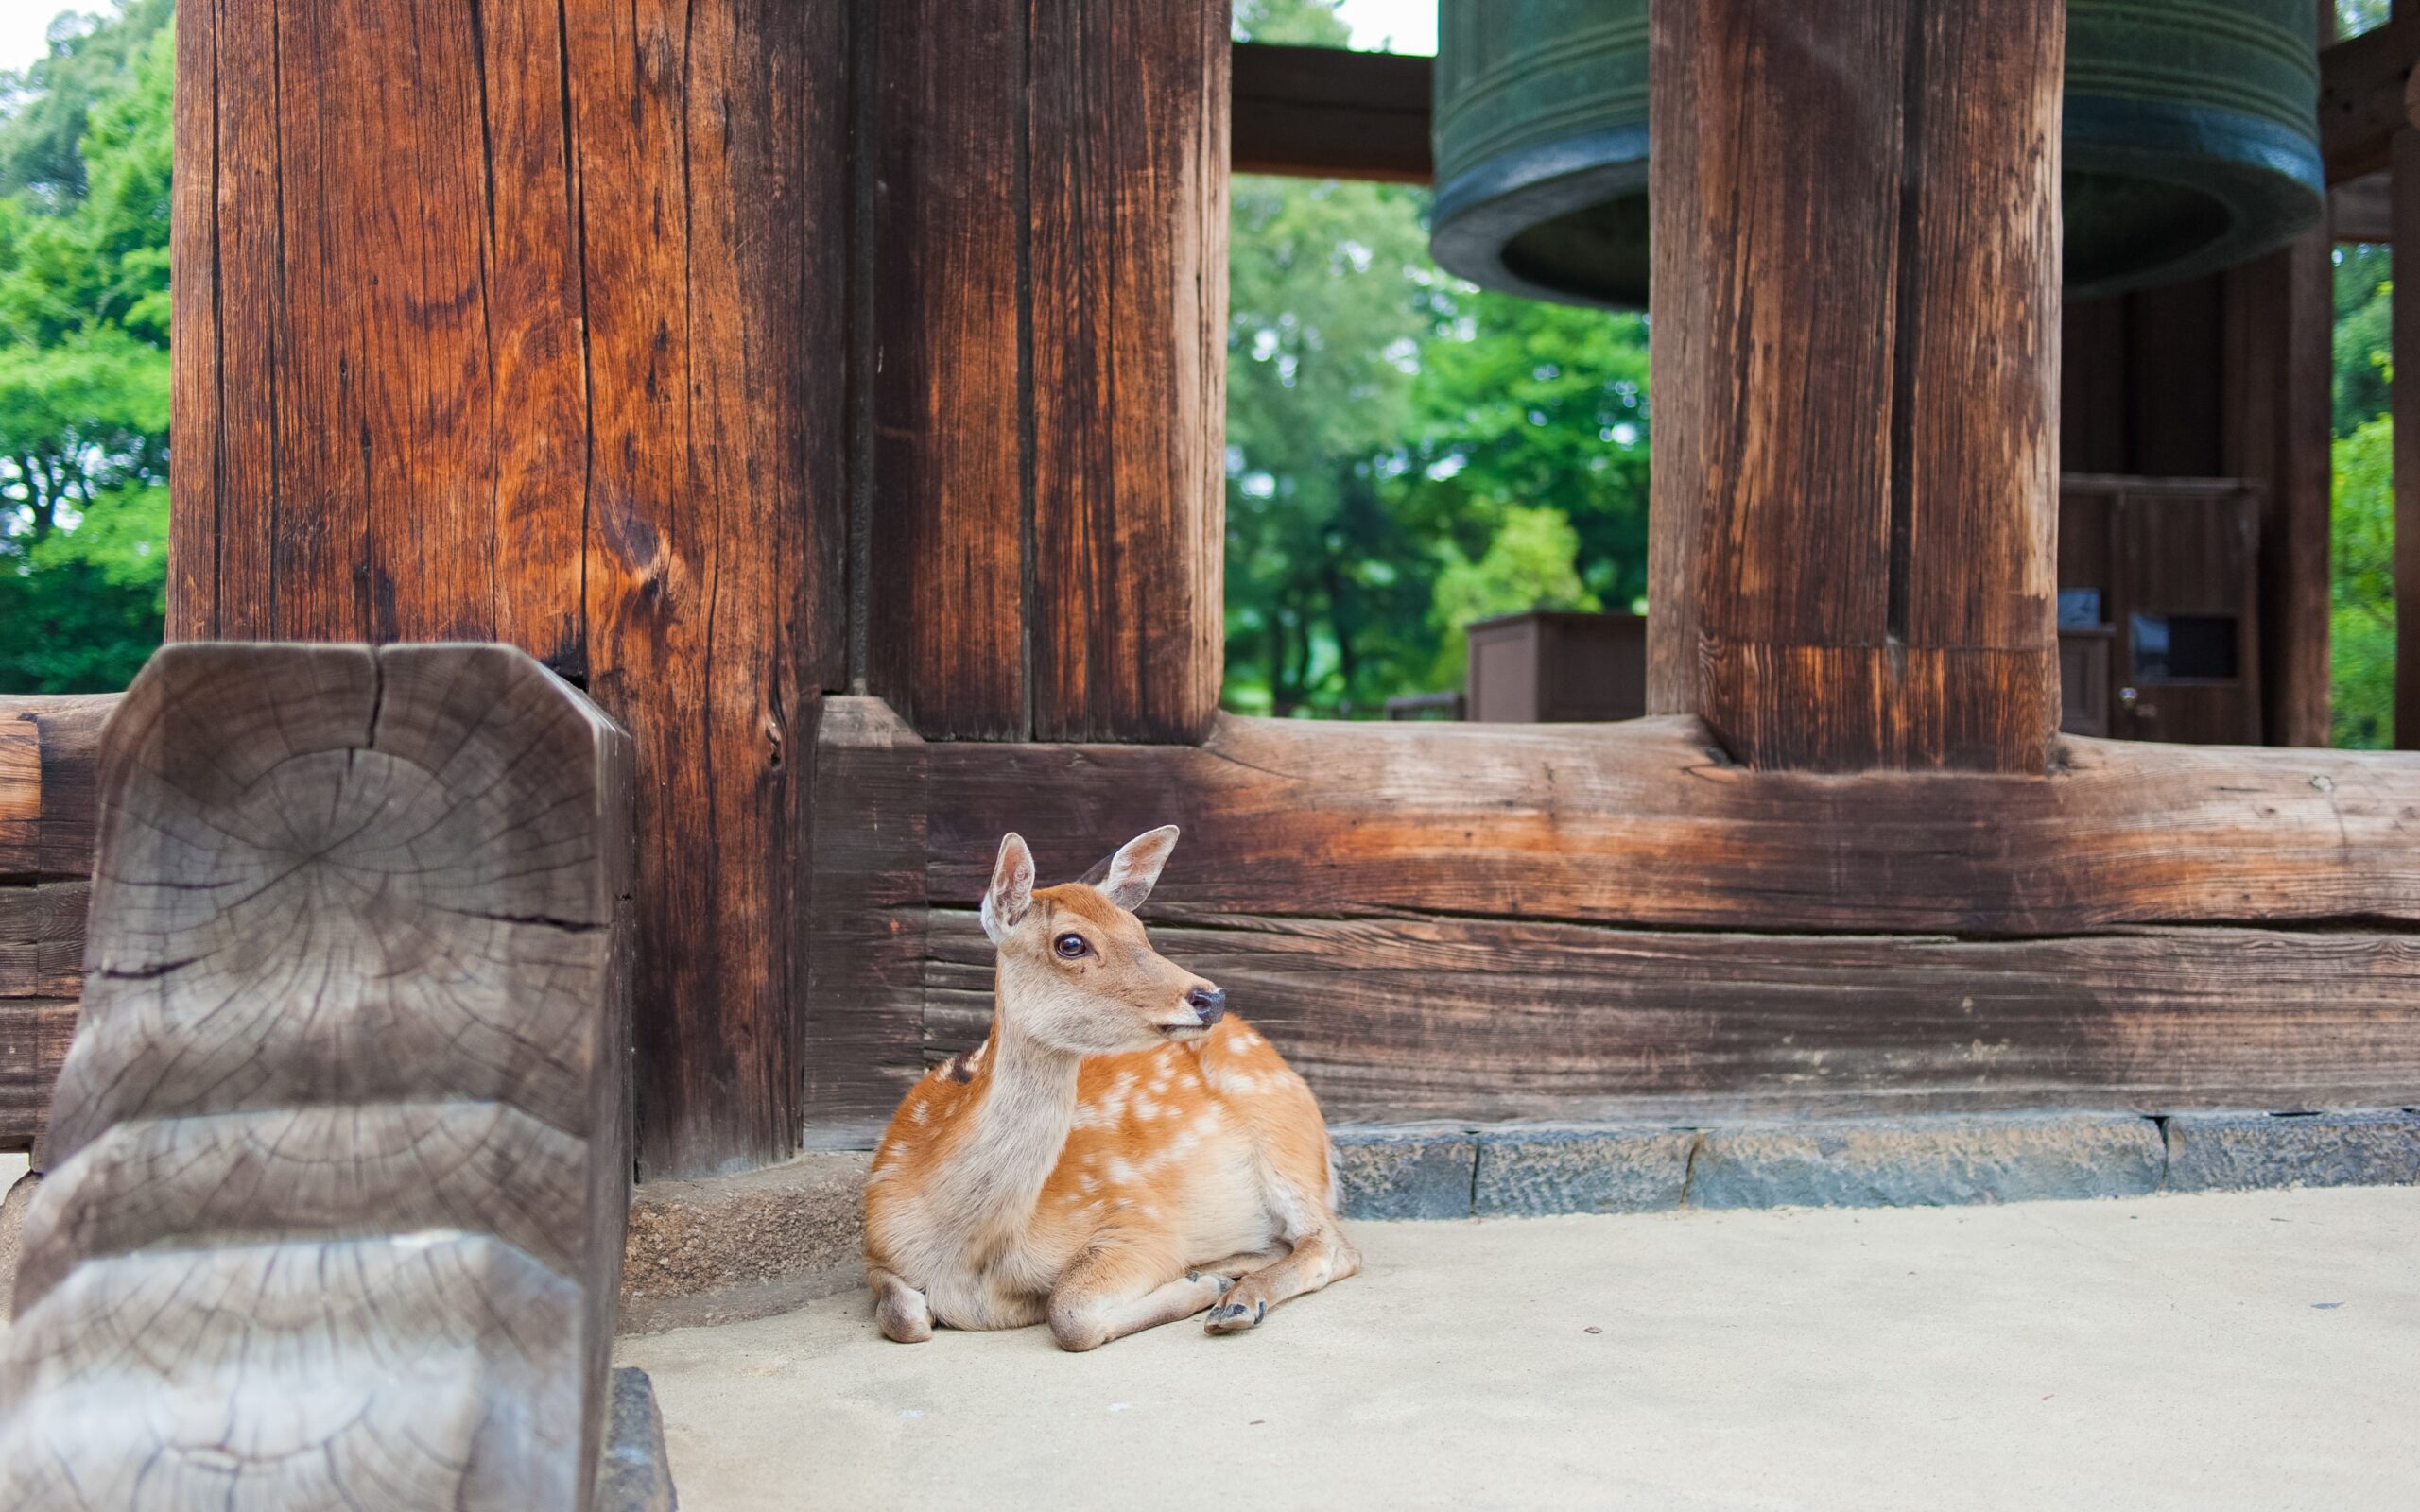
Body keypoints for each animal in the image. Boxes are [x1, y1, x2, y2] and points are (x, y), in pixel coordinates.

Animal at [862, 825, 1360, 1352]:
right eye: (1071, 943)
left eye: (1139, 930)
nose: (1211, 997)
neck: (970, 1257)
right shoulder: (877, 1247)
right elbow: (901, 1316)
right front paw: (1202, 1278)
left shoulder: (1139, 1219)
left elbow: (1070, 1311)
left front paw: (1200, 1285)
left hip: (1283, 1136)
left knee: (1331, 1244)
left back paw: (1236, 1300)